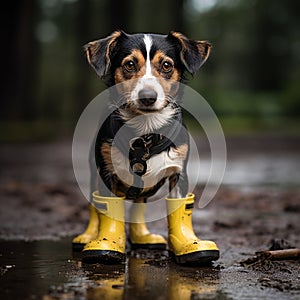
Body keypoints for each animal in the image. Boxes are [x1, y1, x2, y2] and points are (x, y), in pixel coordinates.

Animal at [72, 31, 219, 264]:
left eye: (166, 65)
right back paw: (88, 236)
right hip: (94, 172)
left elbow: (179, 208)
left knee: (138, 204)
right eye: (130, 64)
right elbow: (108, 208)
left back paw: (143, 237)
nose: (148, 97)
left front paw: (188, 244)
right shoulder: (107, 172)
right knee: (94, 206)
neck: (145, 133)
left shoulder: (179, 173)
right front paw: (107, 243)